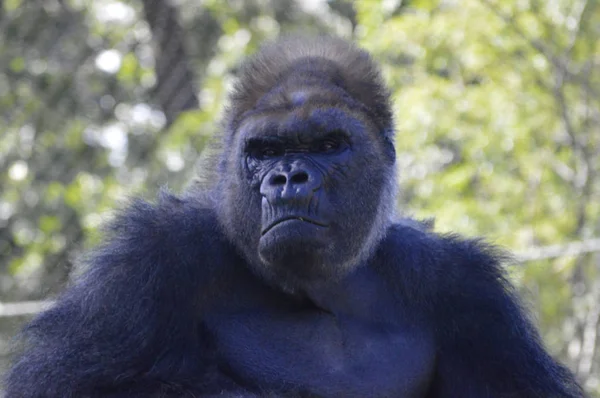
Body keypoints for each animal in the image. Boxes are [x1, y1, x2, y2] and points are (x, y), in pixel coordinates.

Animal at [4, 36, 584, 398]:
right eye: (265, 151)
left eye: (328, 145)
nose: (288, 179)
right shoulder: (147, 261)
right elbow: (61, 388)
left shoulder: (468, 293)